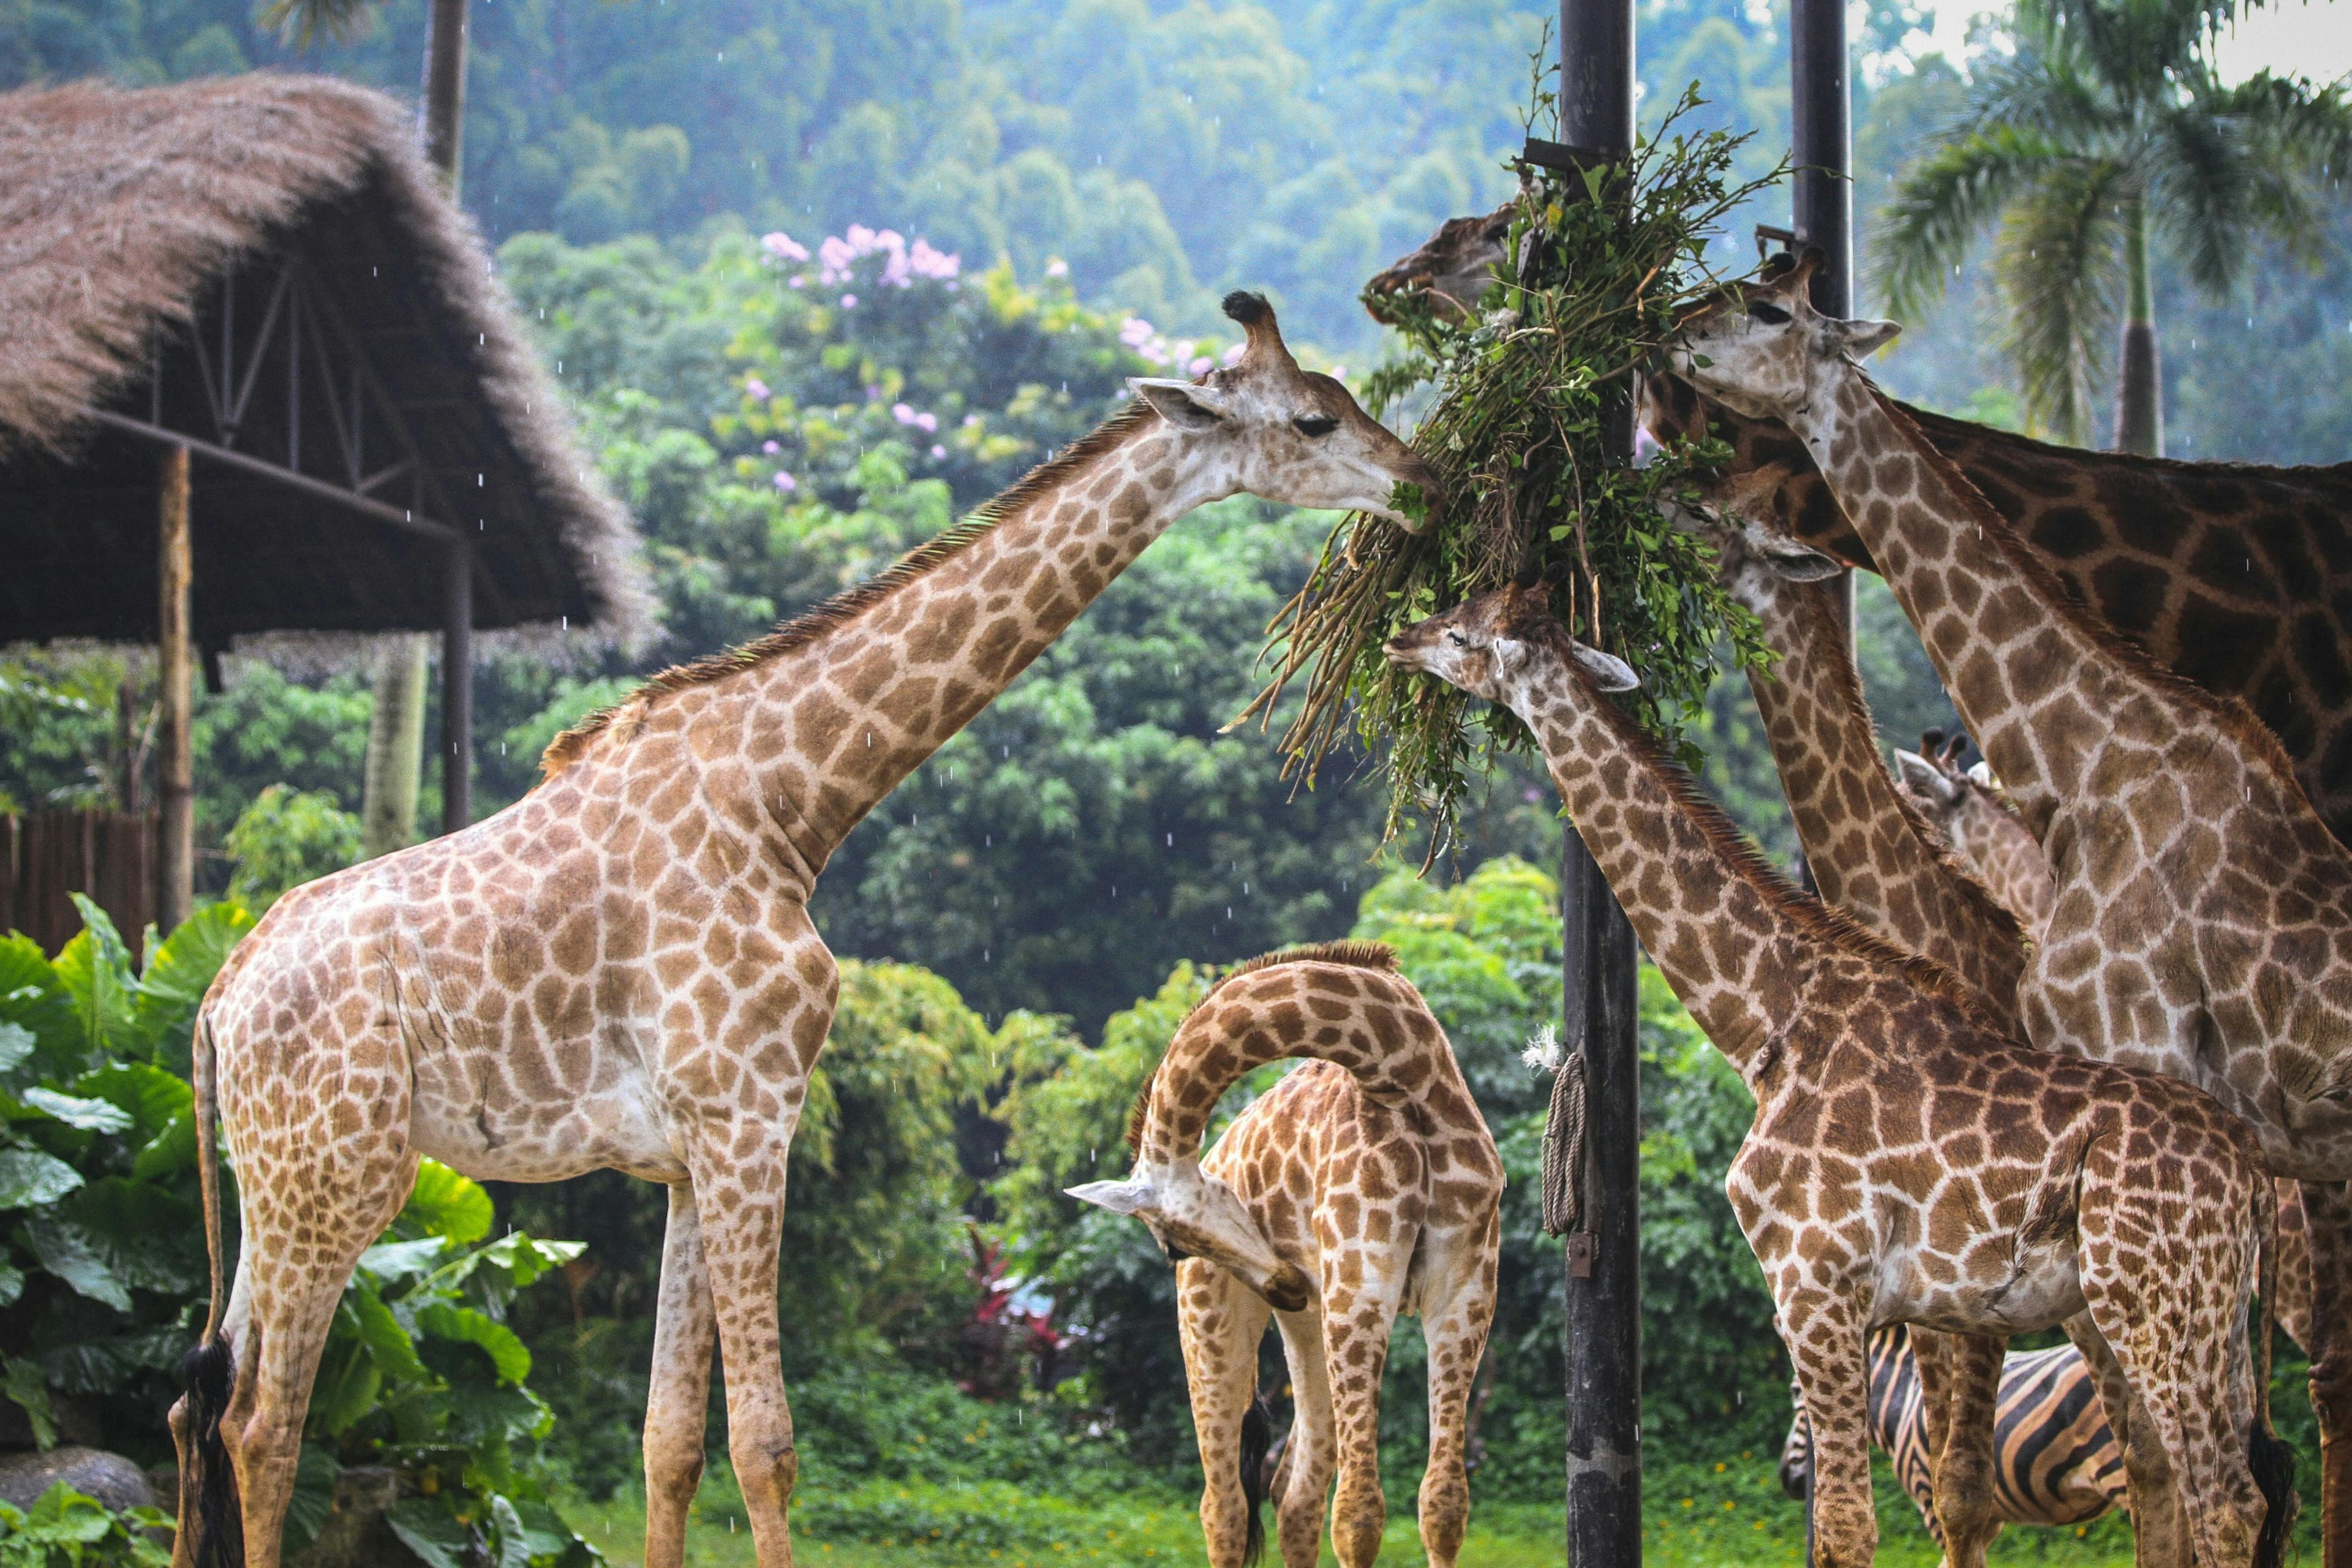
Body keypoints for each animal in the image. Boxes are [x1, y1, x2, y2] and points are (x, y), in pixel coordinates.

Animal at [167, 293, 1440, 1568]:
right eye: (1313, 418)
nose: (1422, 485)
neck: (790, 802)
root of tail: (214, 1006)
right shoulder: (750, 1117)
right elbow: (765, 1445)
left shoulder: (685, 1153)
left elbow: (669, 1441)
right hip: (342, 1172)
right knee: (267, 1422)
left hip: (275, 1179)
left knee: (200, 1401)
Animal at [1067, 943, 1503, 1568]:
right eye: (1173, 1251)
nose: (1288, 1283)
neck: (1403, 1068)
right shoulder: (1362, 1288)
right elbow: (1359, 1514)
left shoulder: (1465, 1291)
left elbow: (1443, 1505)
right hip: (1217, 1324)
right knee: (1226, 1504)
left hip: (1313, 1329)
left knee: (1294, 1493)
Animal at [1384, 581, 2297, 1568]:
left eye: (1462, 633)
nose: (1400, 636)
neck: (1765, 1022)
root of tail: (2252, 1177)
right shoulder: (1856, 1300)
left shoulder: (1815, 1279)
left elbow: (1850, 1528)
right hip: (2207, 1321)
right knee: (2214, 1491)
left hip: (2156, 1306)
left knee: (2224, 1502)